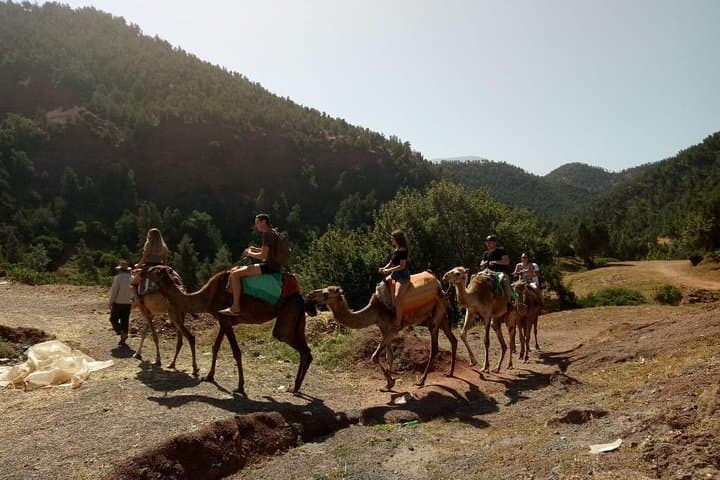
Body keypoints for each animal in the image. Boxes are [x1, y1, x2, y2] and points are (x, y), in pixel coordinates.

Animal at [146, 266, 312, 396]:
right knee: (306, 352)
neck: (207, 297)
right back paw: (296, 387)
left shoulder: (226, 320)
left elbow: (236, 352)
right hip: (297, 317)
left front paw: (240, 387)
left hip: (288, 314)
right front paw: (209, 376)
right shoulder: (222, 320)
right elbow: (215, 347)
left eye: (156, 271)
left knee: (295, 344)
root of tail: (300, 296)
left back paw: (295, 388)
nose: (145, 270)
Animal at [305, 273, 457, 391]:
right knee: (453, 340)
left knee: (435, 346)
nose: (310, 294)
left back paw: (421, 381)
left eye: (326, 293)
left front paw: (390, 381)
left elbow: (374, 356)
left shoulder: (393, 329)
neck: (376, 310)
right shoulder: (383, 328)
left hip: (437, 312)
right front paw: (389, 383)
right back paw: (449, 372)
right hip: (442, 315)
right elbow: (389, 356)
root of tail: (440, 287)